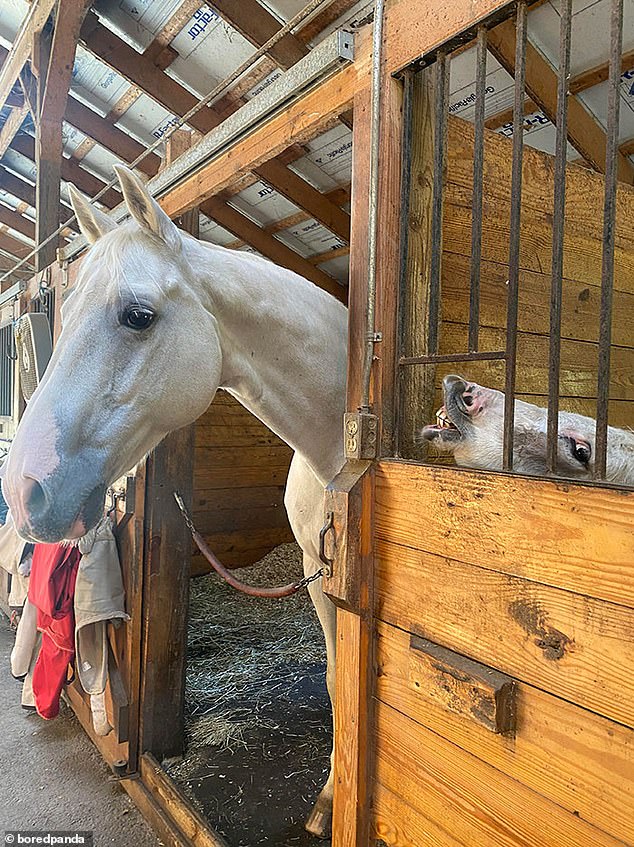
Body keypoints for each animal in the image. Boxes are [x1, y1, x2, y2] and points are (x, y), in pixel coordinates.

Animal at [2, 166, 346, 836]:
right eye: (66, 311)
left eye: (138, 315)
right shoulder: (318, 578)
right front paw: (328, 800)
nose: (24, 493)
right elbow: (336, 676)